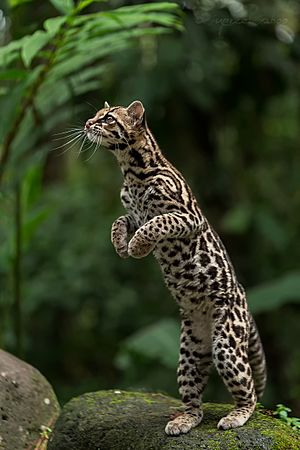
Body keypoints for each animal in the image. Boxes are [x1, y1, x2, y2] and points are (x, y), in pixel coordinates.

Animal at [83, 100, 266, 434]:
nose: (88, 124)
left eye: (109, 118)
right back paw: (184, 419)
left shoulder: (186, 217)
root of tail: (244, 301)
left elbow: (156, 224)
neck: (131, 170)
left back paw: (236, 415)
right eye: (97, 115)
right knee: (194, 399)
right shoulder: (133, 214)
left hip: (226, 342)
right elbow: (119, 221)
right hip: (190, 352)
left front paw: (136, 247)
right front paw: (121, 245)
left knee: (250, 392)